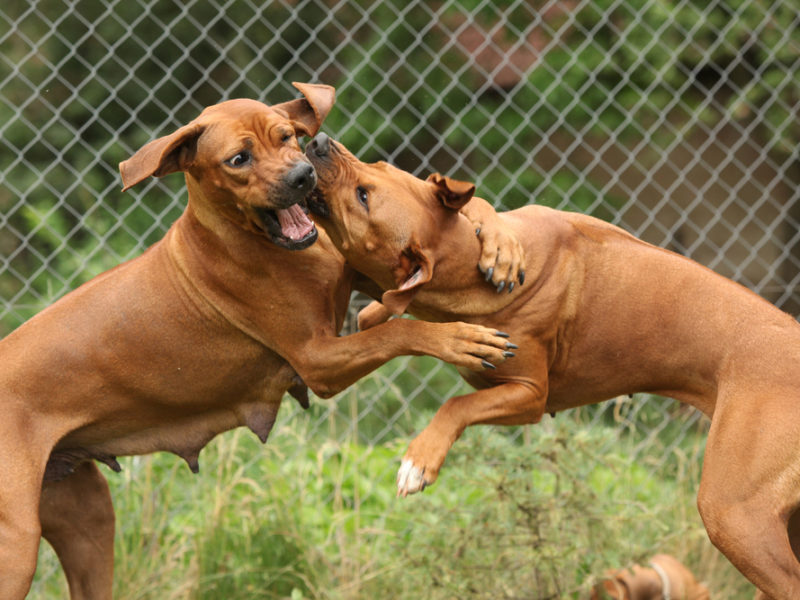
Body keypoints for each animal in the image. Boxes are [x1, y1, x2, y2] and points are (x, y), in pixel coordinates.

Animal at [0, 84, 520, 600]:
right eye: (238, 159)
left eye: (286, 135)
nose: (302, 175)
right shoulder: (318, 360)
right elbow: (399, 329)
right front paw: (461, 338)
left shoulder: (365, 281)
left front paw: (502, 245)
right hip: (18, 547)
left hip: (87, 517)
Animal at [304, 132, 800, 600]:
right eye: (377, 166)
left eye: (365, 194)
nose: (319, 141)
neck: (467, 272)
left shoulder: (529, 396)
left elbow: (456, 405)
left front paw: (419, 461)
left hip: (734, 513)